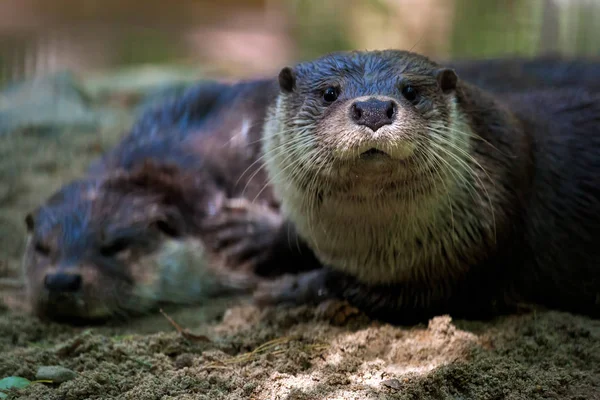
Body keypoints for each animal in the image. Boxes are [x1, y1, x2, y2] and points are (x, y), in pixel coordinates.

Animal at [204, 50, 596, 324]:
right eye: (329, 93)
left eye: (410, 90)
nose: (374, 109)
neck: (368, 250)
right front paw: (255, 231)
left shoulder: (468, 264)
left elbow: (348, 286)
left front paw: (289, 289)